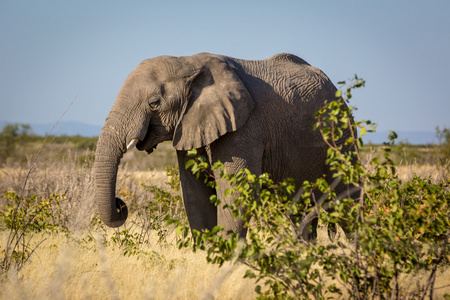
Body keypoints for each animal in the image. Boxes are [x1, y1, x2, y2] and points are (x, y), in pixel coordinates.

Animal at [94, 51, 356, 239]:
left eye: (154, 103)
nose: (120, 204)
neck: (187, 61)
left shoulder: (245, 128)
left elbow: (235, 191)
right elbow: (195, 194)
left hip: (342, 137)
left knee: (349, 201)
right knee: (300, 213)